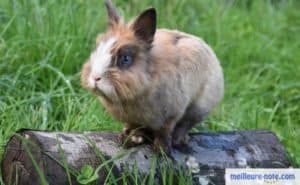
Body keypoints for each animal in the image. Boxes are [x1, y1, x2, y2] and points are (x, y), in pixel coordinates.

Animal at [81, 0, 224, 153]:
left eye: (125, 58)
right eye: (96, 49)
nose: (95, 77)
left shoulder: (171, 115)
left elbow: (164, 132)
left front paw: (161, 150)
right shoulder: (133, 119)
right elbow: (135, 127)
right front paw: (132, 139)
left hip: (198, 108)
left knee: (184, 126)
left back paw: (179, 140)